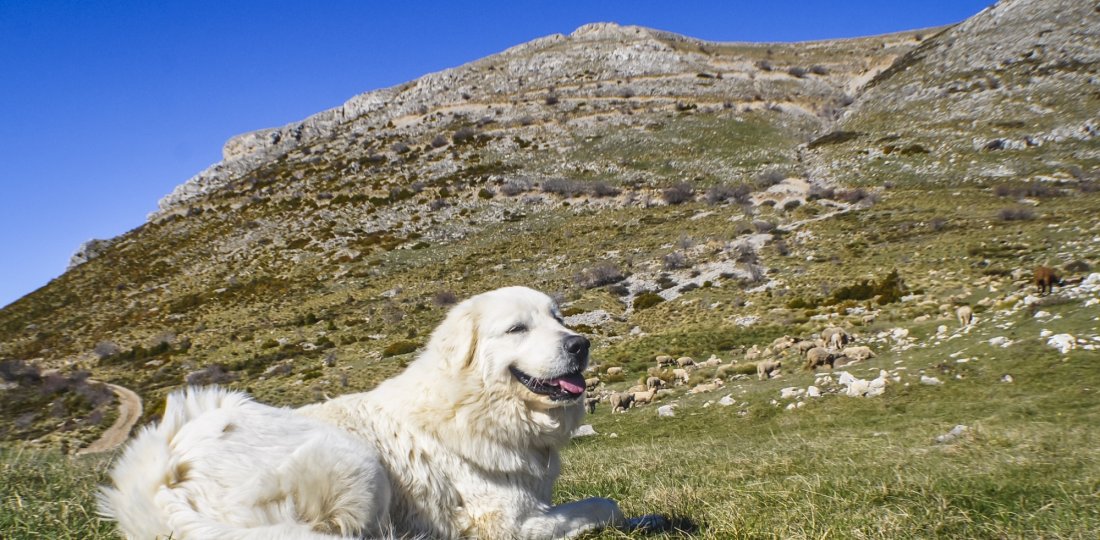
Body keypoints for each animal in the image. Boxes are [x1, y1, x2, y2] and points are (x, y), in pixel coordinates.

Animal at [99, 285, 624, 538]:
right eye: (517, 328)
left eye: (557, 317)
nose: (580, 344)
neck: (471, 404)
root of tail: (161, 481)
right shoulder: (507, 524)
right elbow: (605, 505)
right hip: (357, 462)